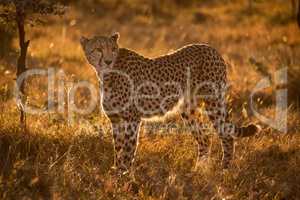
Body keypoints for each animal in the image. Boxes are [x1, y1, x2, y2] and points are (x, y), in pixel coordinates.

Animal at [79, 32, 260, 172]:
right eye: (98, 49)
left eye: (113, 49)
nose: (108, 61)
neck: (106, 74)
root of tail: (210, 48)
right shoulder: (116, 120)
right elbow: (118, 148)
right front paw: (117, 171)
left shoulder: (132, 119)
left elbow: (128, 150)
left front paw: (124, 176)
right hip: (188, 110)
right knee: (205, 138)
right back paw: (198, 170)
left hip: (213, 102)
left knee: (226, 135)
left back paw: (225, 169)